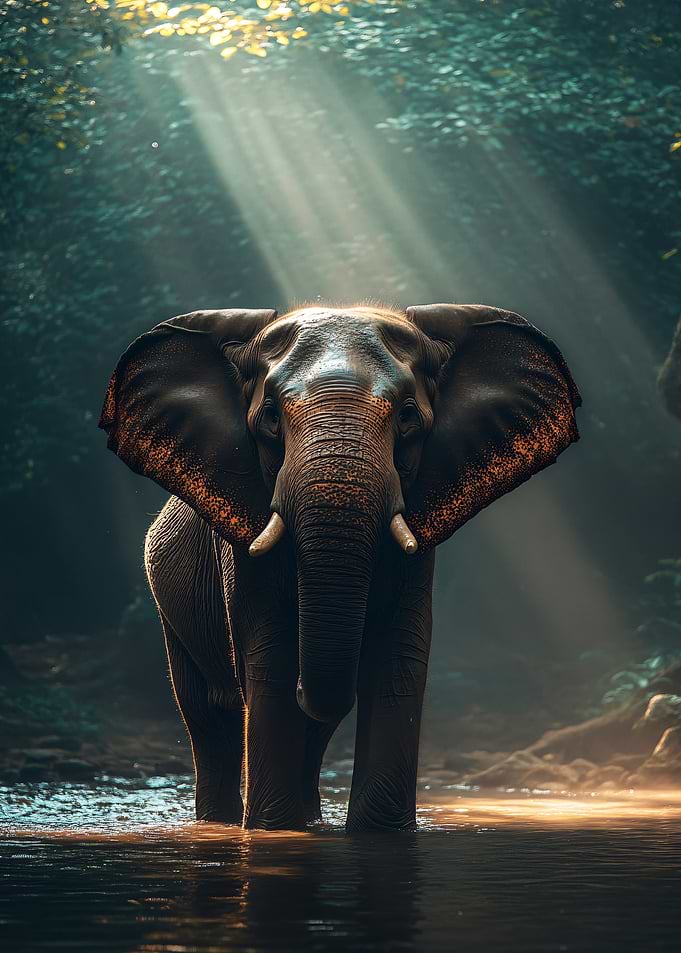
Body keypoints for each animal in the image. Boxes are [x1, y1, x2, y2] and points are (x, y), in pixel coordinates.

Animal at [100, 303, 581, 831]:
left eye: (408, 417)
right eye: (271, 418)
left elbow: (397, 656)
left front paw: (379, 834)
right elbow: (270, 654)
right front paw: (273, 831)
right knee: (208, 716)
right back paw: (223, 821)